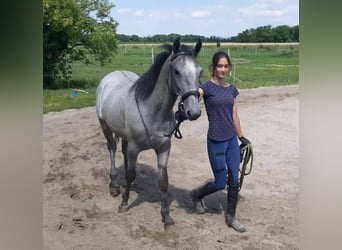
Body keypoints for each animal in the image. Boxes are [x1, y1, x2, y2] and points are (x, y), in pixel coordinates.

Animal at [95, 37, 203, 227]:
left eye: (200, 72)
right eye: (176, 72)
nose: (194, 112)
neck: (152, 110)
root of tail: (109, 77)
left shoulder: (164, 148)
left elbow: (163, 181)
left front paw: (166, 215)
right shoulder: (135, 147)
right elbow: (130, 174)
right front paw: (124, 203)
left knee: (123, 152)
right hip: (105, 127)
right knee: (113, 150)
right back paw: (114, 185)